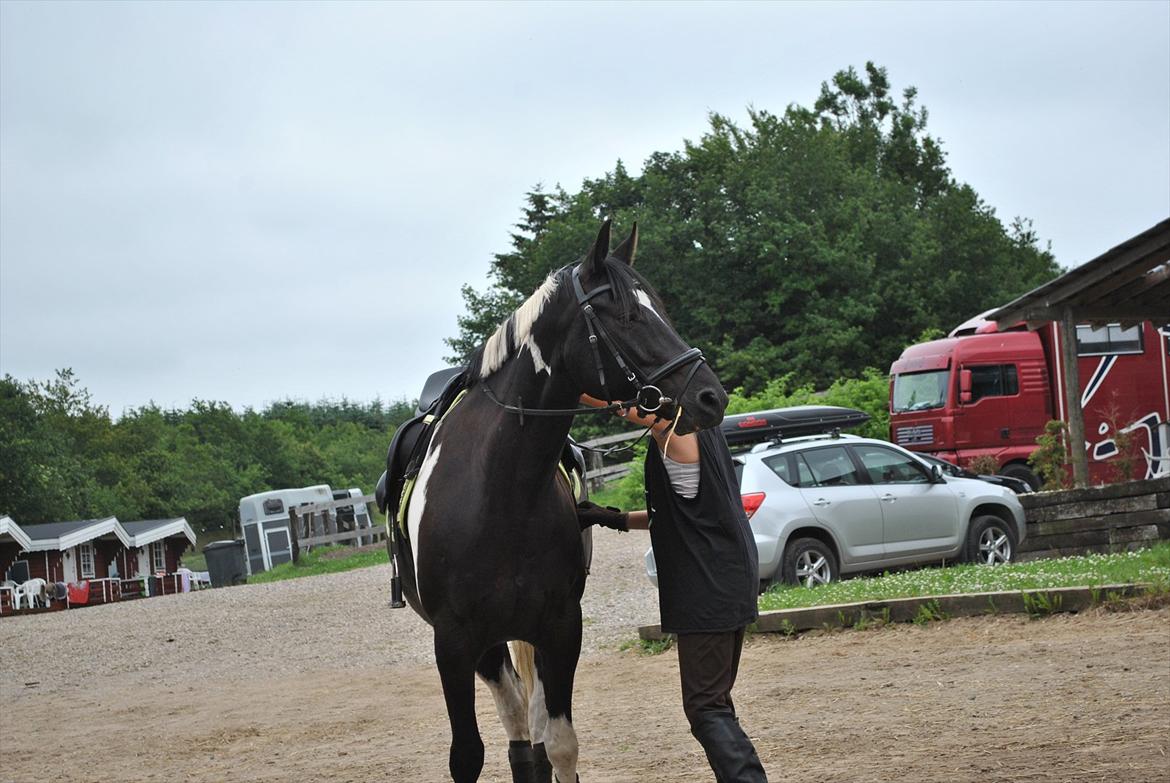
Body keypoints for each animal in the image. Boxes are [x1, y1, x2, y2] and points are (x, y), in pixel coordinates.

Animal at [388, 220, 725, 781]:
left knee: (534, 733)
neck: (501, 494)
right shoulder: (453, 641)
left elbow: (561, 745)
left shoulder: (562, 628)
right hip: (486, 648)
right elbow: (468, 756)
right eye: (626, 316)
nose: (710, 397)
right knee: (516, 724)